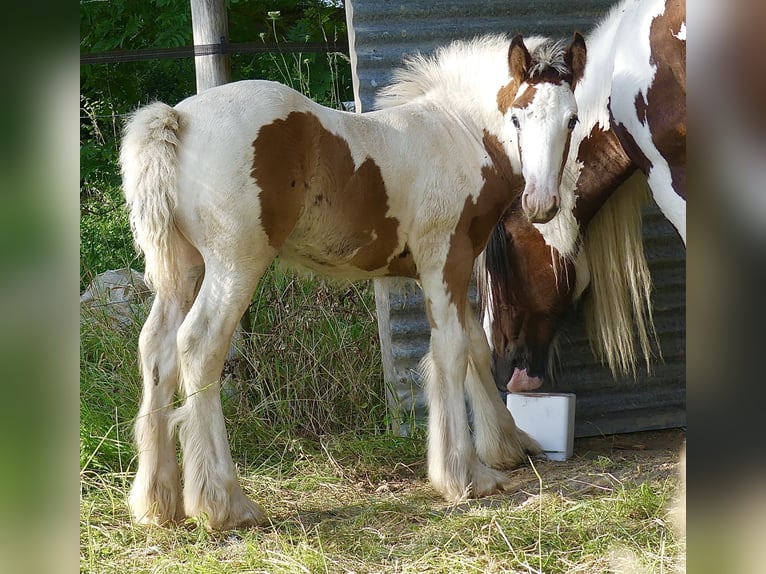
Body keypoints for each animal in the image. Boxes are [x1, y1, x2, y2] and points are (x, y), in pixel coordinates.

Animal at [120, 35, 588, 532]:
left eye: (572, 118)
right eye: (517, 117)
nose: (541, 202)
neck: (457, 134)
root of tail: (178, 118)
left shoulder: (456, 269)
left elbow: (476, 348)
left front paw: (506, 446)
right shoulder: (444, 259)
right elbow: (452, 352)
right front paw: (464, 476)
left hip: (183, 270)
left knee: (156, 350)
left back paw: (157, 502)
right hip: (235, 264)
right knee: (198, 346)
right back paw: (225, 503)